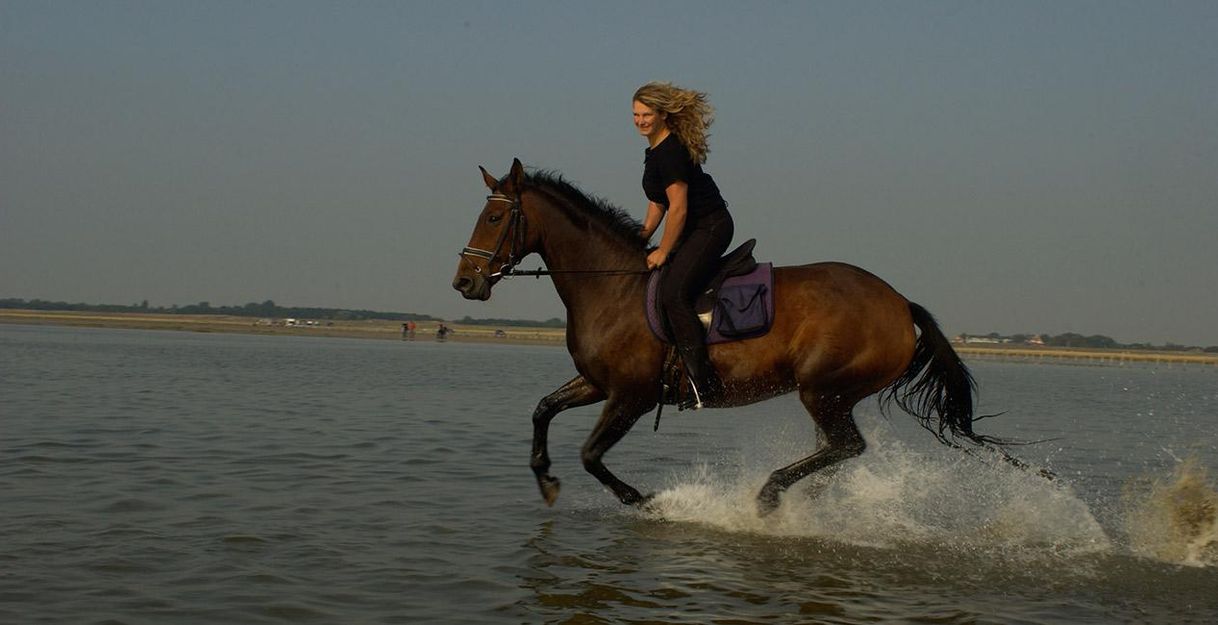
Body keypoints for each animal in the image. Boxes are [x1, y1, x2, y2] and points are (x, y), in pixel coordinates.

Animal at [453, 158, 1022, 516]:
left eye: (495, 216)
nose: (465, 283)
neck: (611, 286)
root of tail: (901, 303)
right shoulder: (597, 384)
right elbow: (542, 410)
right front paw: (546, 481)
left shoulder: (632, 396)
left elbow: (592, 455)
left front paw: (649, 502)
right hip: (832, 397)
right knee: (838, 451)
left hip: (823, 389)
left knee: (845, 446)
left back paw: (768, 497)